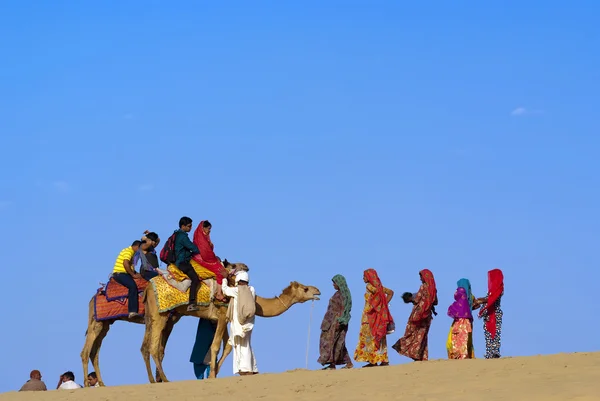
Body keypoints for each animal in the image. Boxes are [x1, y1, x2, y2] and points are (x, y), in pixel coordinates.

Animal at [142, 278, 322, 382]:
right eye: (305, 289)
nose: (317, 290)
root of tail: (148, 288)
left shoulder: (226, 318)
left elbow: (228, 346)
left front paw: (216, 372)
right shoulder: (222, 315)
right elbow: (215, 346)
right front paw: (212, 375)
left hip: (150, 316)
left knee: (145, 347)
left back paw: (152, 379)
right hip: (161, 315)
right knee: (154, 347)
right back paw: (165, 379)